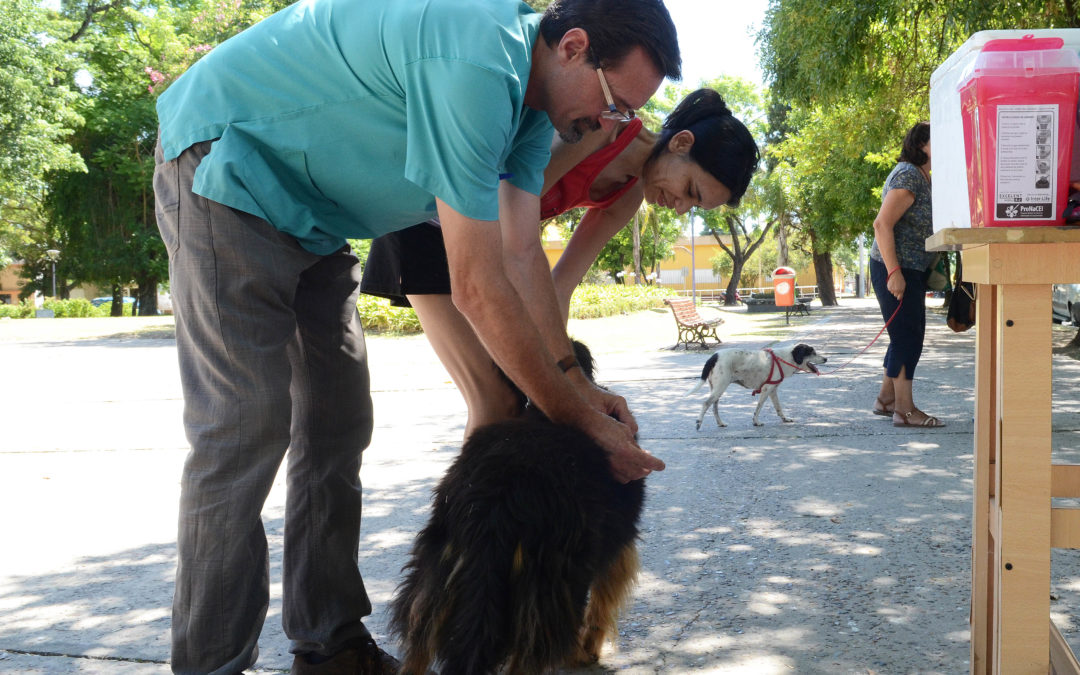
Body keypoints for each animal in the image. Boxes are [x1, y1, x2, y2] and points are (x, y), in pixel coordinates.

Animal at [388, 345, 639, 669]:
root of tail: (494, 504)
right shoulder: (619, 546)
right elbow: (599, 609)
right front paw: (587, 653)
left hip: (434, 577)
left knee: (417, 652)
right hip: (548, 591)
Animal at [686, 345, 829, 429]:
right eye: (812, 352)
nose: (826, 359)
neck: (786, 358)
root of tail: (714, 356)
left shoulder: (773, 391)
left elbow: (779, 408)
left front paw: (785, 419)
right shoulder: (766, 390)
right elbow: (758, 408)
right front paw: (756, 422)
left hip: (717, 389)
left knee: (714, 407)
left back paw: (720, 423)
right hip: (720, 388)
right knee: (705, 404)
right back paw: (698, 422)